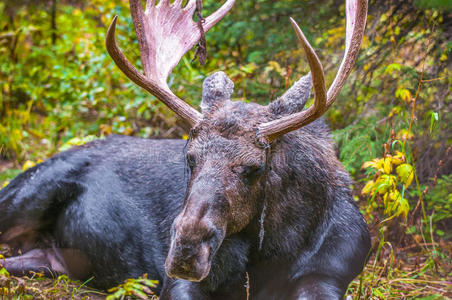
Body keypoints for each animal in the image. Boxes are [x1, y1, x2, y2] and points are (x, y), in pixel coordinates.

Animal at [0, 1, 370, 298]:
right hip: (27, 193)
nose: (186, 251)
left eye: (255, 167)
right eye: (190, 158)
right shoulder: (178, 282)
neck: (273, 255)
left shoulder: (329, 272)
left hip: (46, 259)